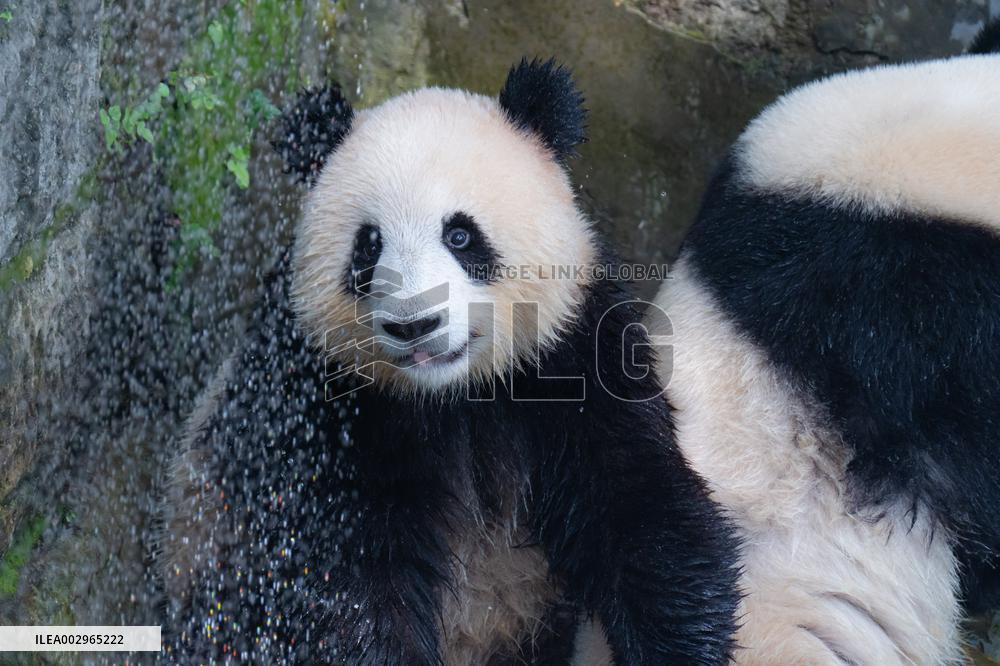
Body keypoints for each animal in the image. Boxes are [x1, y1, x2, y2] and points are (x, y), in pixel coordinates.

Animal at [161, 60, 742, 665]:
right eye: (368, 247)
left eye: (460, 234)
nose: (414, 324)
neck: (453, 395)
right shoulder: (316, 401)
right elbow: (335, 585)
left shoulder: (573, 352)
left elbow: (641, 510)